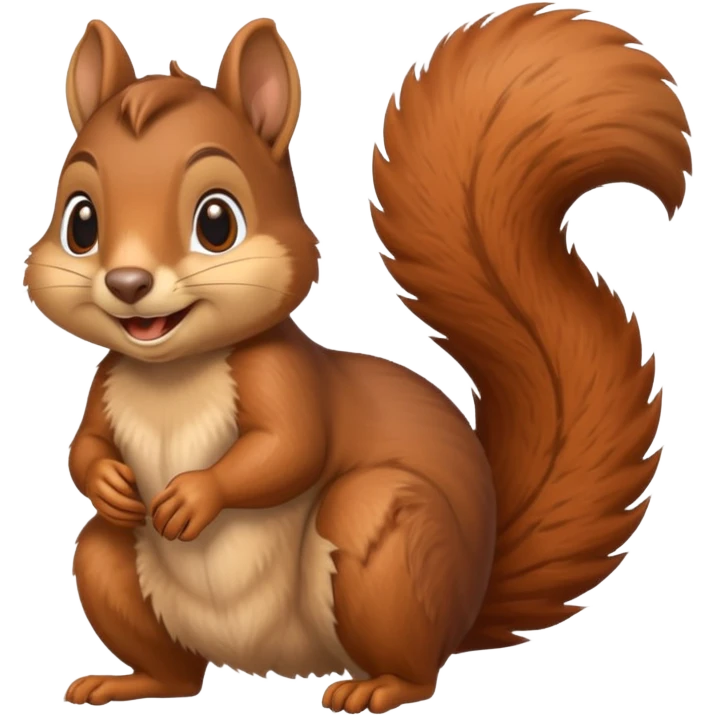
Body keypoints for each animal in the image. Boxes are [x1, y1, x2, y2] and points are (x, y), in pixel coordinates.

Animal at [24, 4, 689, 714]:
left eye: (217, 223)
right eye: (81, 223)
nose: (127, 283)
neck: (173, 371)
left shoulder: (282, 377)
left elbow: (290, 449)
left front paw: (195, 495)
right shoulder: (107, 384)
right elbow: (85, 447)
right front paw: (108, 483)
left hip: (386, 549)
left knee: (416, 661)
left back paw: (378, 688)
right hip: (113, 568)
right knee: (172, 662)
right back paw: (129, 681)